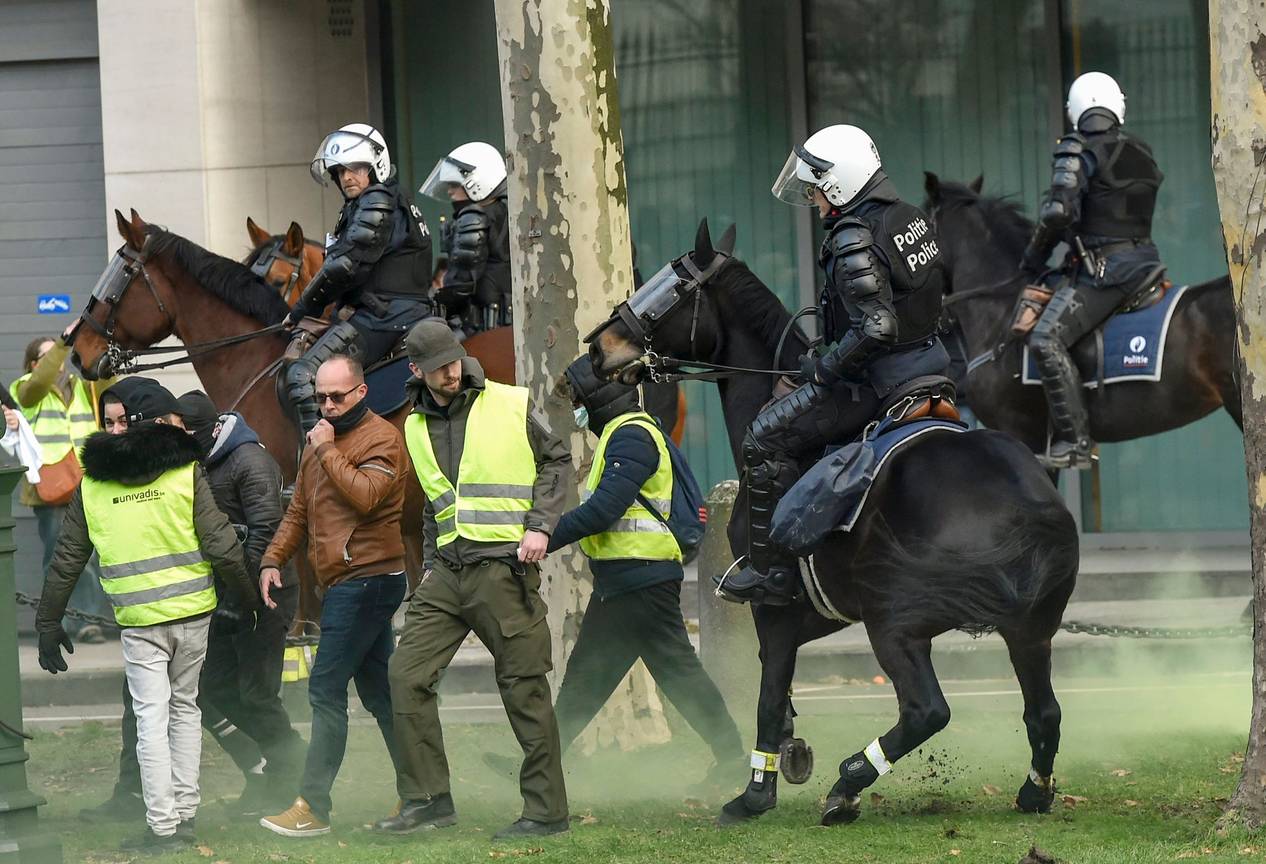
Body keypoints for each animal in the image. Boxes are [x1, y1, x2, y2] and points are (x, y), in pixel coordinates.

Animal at [584, 220, 1078, 820]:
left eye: (668, 291)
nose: (598, 347)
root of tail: (1026, 506)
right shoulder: (819, 610)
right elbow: (779, 696)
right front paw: (784, 758)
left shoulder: (775, 610)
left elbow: (768, 697)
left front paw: (755, 793)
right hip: (1029, 630)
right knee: (1043, 712)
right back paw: (1033, 791)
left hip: (896, 625)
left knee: (928, 711)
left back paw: (848, 784)